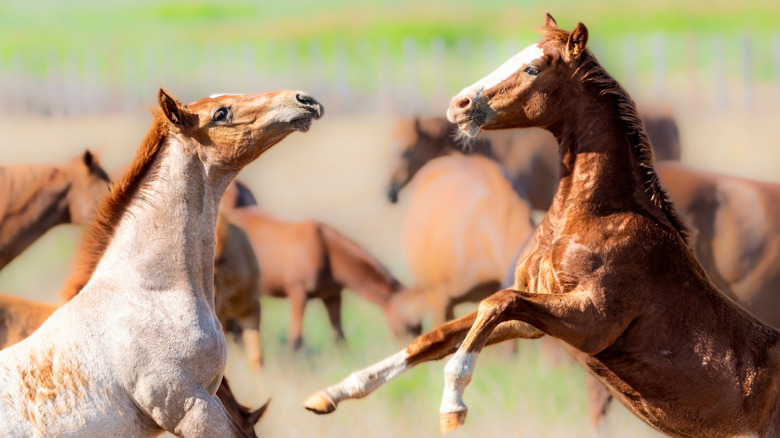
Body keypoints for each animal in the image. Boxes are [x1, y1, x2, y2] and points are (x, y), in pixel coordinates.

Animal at [224, 205, 408, 350]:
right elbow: (296, 340)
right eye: (410, 323)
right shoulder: (298, 294)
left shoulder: (332, 296)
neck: (327, 250)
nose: (405, 345)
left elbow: (340, 337)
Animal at [304, 15, 780, 436]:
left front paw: (452, 405)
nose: (458, 105)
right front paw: (331, 393)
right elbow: (439, 336)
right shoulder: (535, 318)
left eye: (533, 67)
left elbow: (496, 303)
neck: (596, 215)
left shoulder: (590, 322)